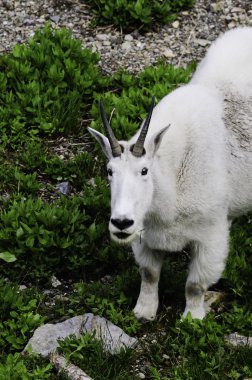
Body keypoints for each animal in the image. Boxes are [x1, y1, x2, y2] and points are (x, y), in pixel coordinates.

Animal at [88, 27, 252, 320]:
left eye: (144, 170)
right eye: (109, 171)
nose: (121, 223)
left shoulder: (210, 235)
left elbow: (195, 284)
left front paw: (192, 319)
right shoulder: (144, 234)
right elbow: (149, 273)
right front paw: (144, 312)